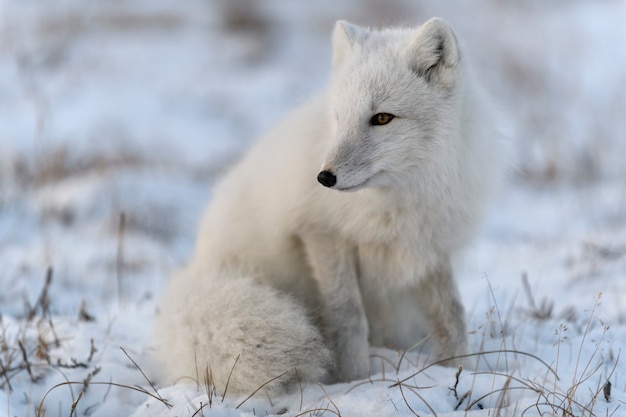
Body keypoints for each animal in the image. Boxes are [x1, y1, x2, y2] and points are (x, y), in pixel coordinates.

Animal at [155, 17, 498, 396]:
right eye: (339, 118)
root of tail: (199, 266)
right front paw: (355, 381)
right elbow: (347, 317)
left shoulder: (429, 249)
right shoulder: (321, 236)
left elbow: (452, 316)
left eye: (382, 118)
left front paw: (459, 370)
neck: (402, 197)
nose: (324, 178)